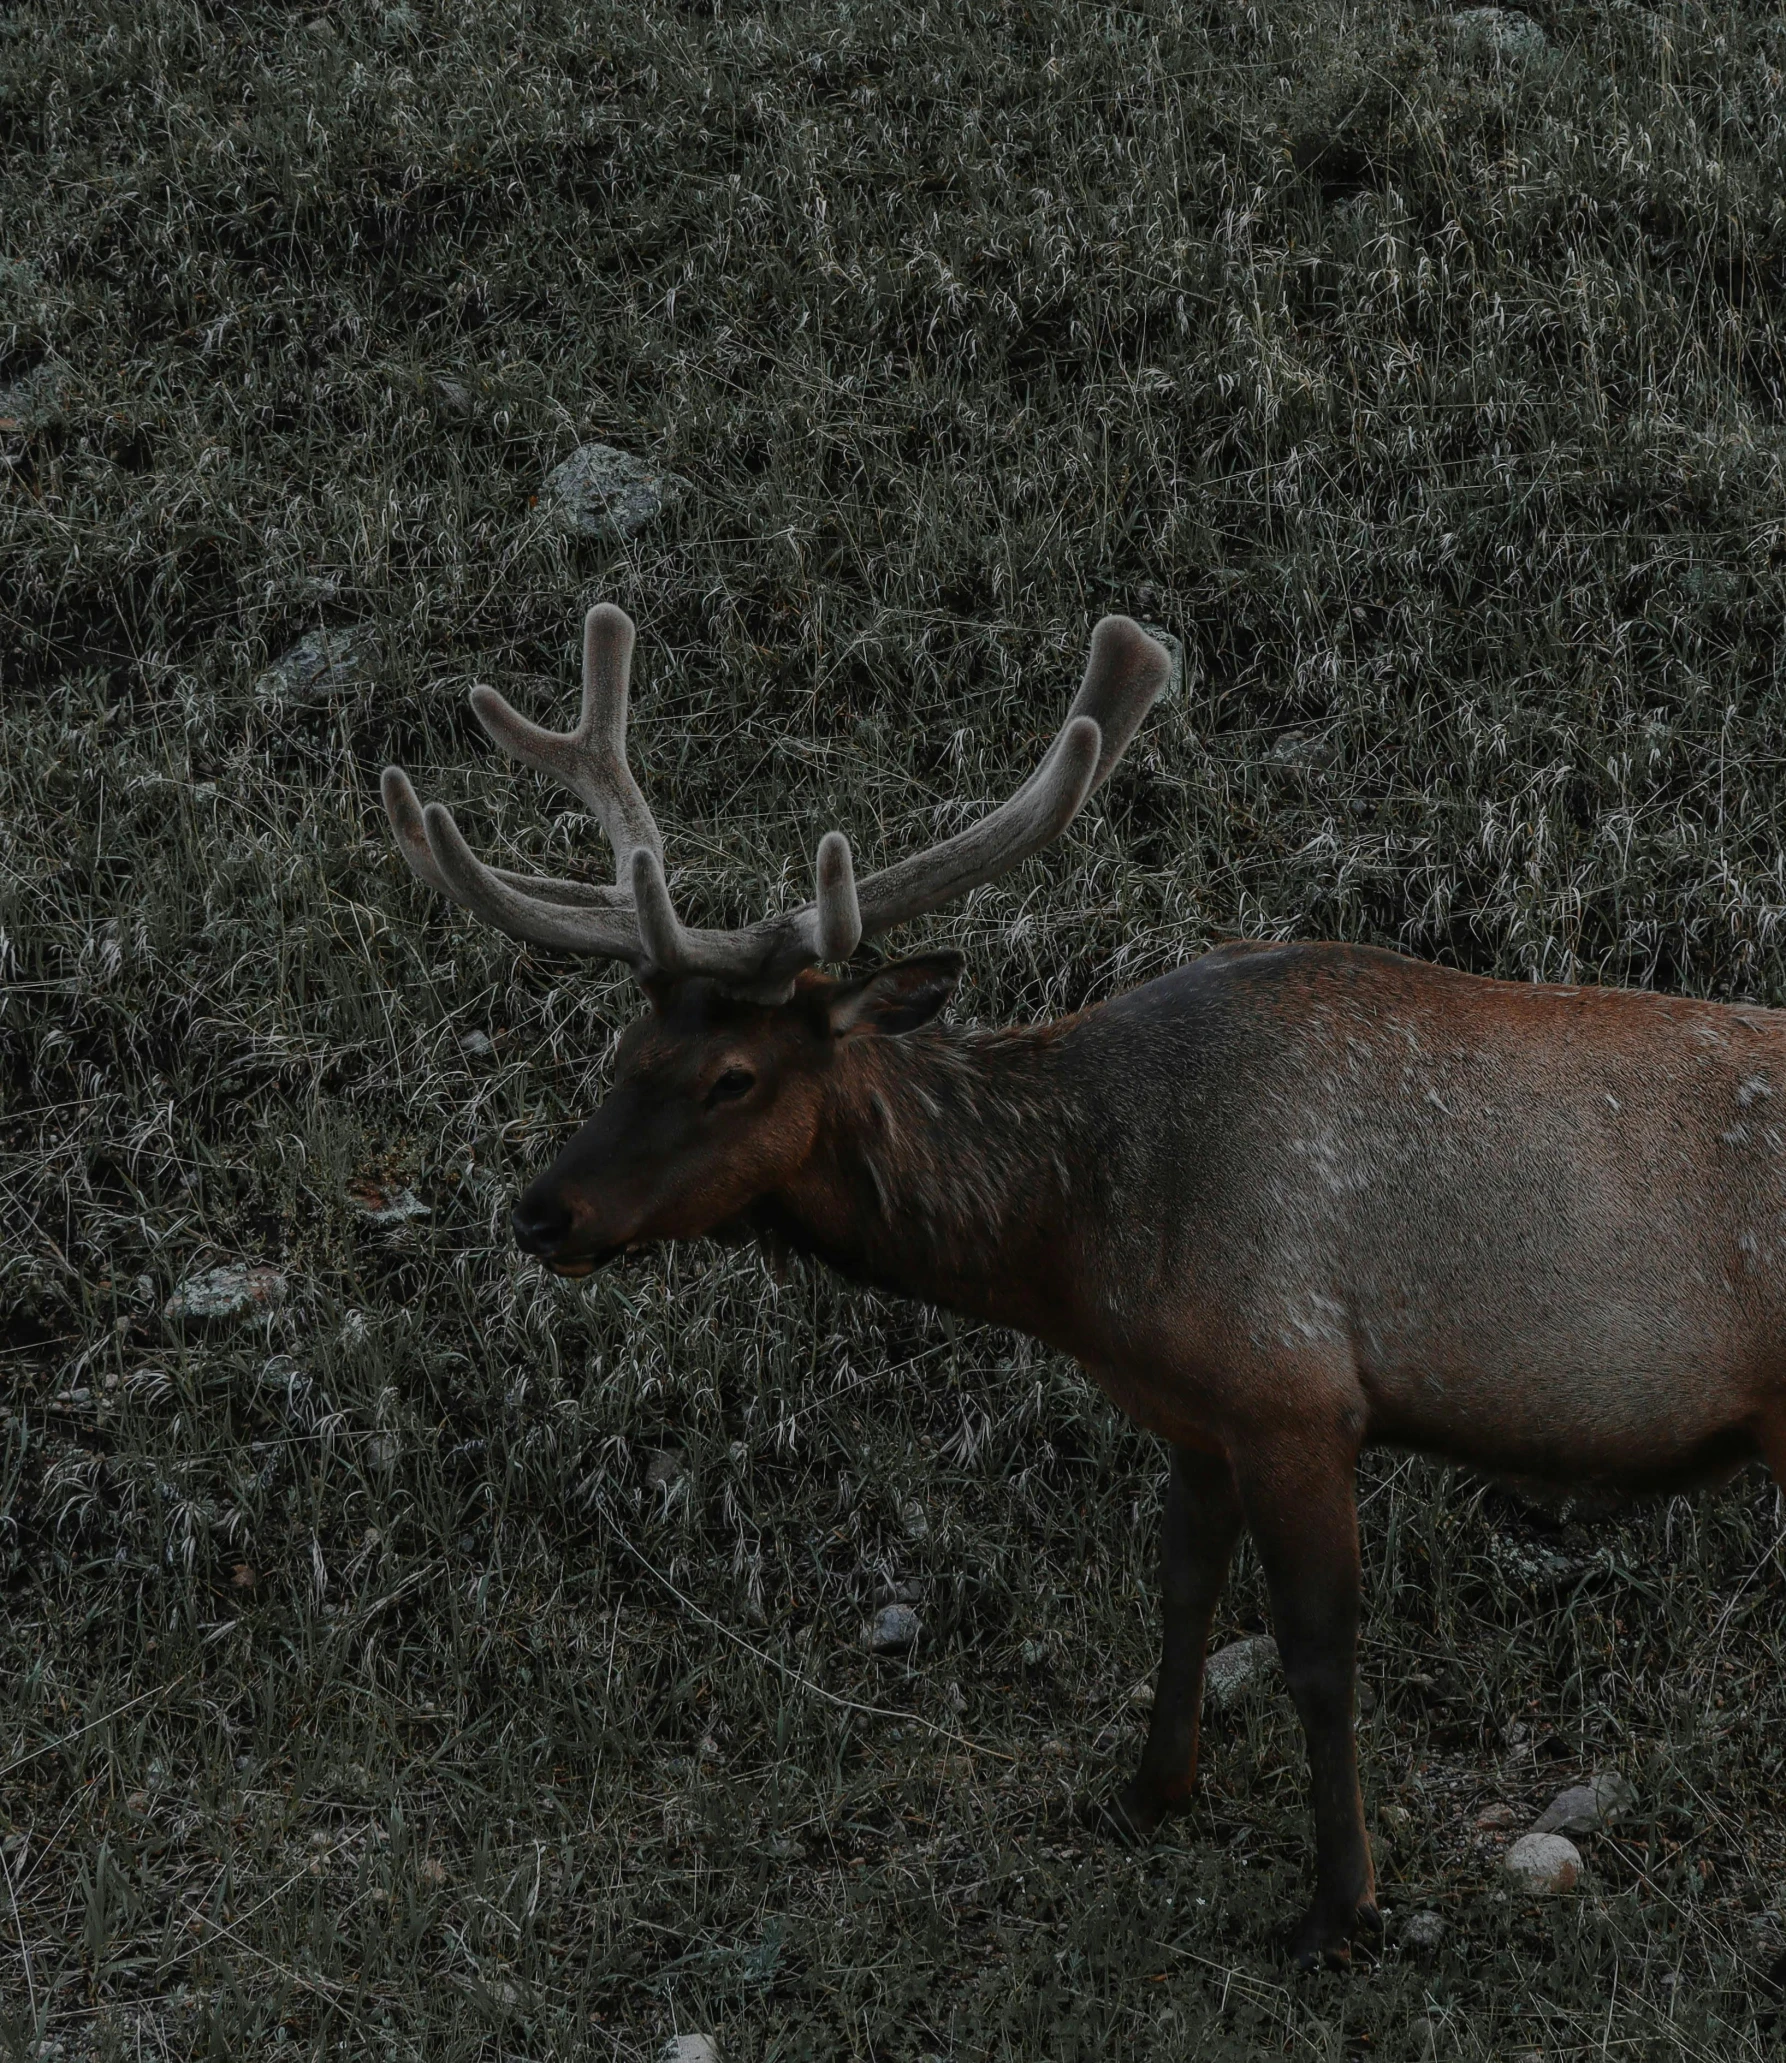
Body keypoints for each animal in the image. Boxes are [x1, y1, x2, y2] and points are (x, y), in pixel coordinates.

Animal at [383, 602, 1781, 1963]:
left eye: (733, 1075)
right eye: (624, 1045)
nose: (542, 1210)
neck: (1082, 1244)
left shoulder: (1292, 1390)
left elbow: (1317, 1652)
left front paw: (1339, 1906)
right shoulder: (1197, 1408)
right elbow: (1182, 1588)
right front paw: (1149, 1791)